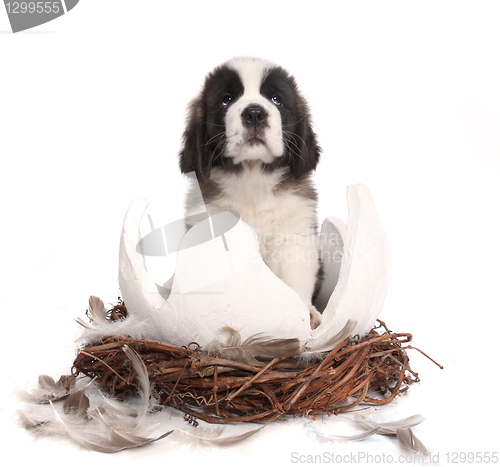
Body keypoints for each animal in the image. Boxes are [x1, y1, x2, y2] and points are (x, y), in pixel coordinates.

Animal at [180, 57, 324, 330]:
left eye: (276, 99)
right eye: (226, 99)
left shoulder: (293, 235)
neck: (252, 180)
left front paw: (302, 315)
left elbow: (294, 277)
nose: (255, 113)